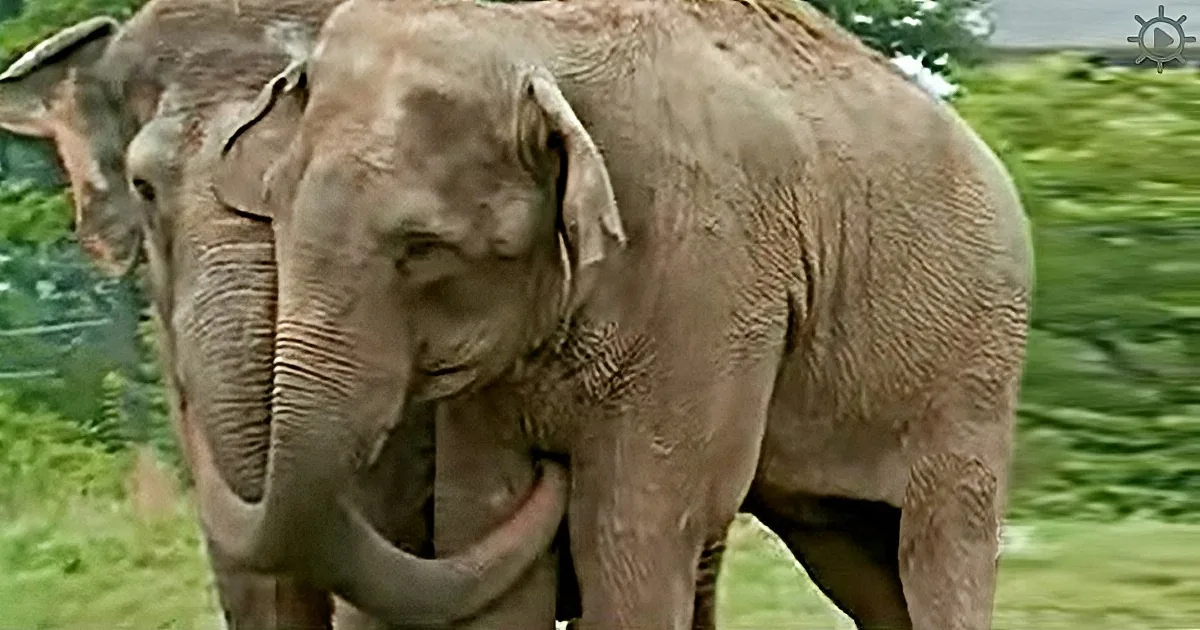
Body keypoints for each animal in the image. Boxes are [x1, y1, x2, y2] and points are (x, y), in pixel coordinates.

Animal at [205, 0, 1033, 628]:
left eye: (423, 248)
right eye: (273, 211)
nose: (555, 468)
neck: (537, 39)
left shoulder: (708, 286)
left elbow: (633, 533)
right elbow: (483, 520)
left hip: (971, 374)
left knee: (938, 544)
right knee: (856, 556)